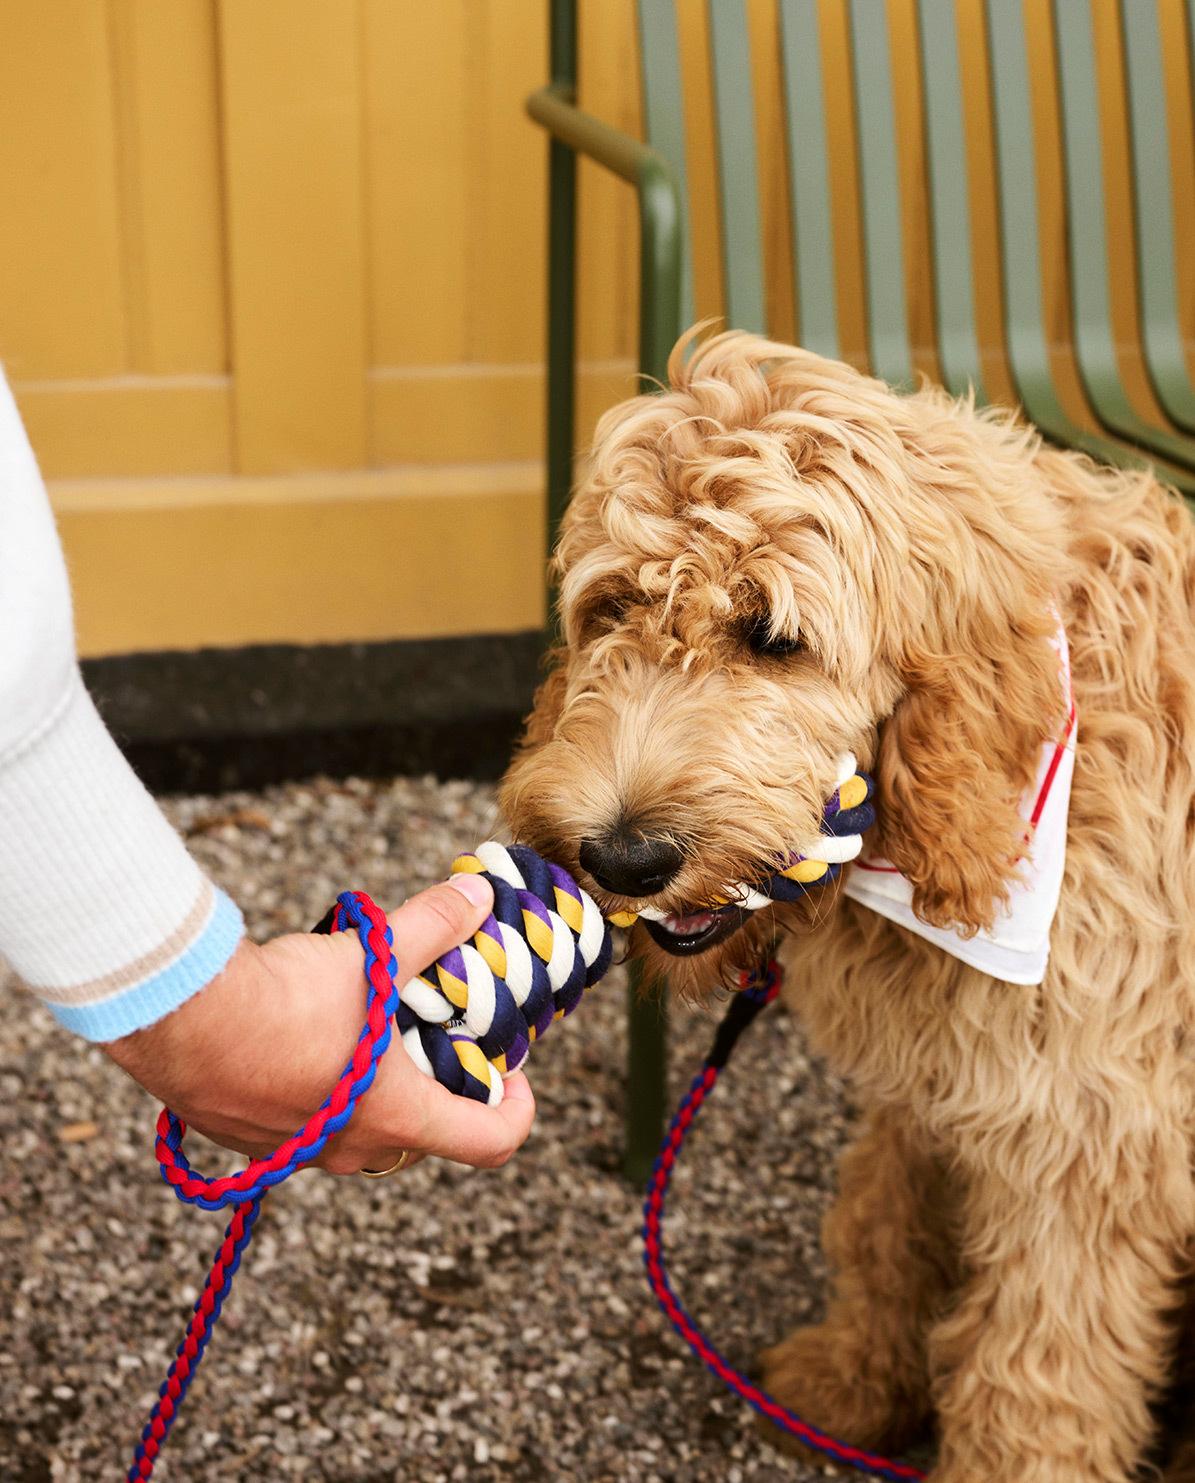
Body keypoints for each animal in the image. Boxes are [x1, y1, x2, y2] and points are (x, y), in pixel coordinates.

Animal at [501, 333, 1195, 1483]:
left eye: (772, 636)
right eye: (611, 609)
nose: (624, 855)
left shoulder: (1084, 1136)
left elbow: (1035, 1372)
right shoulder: (946, 1070)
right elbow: (883, 1213)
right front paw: (858, 1382)